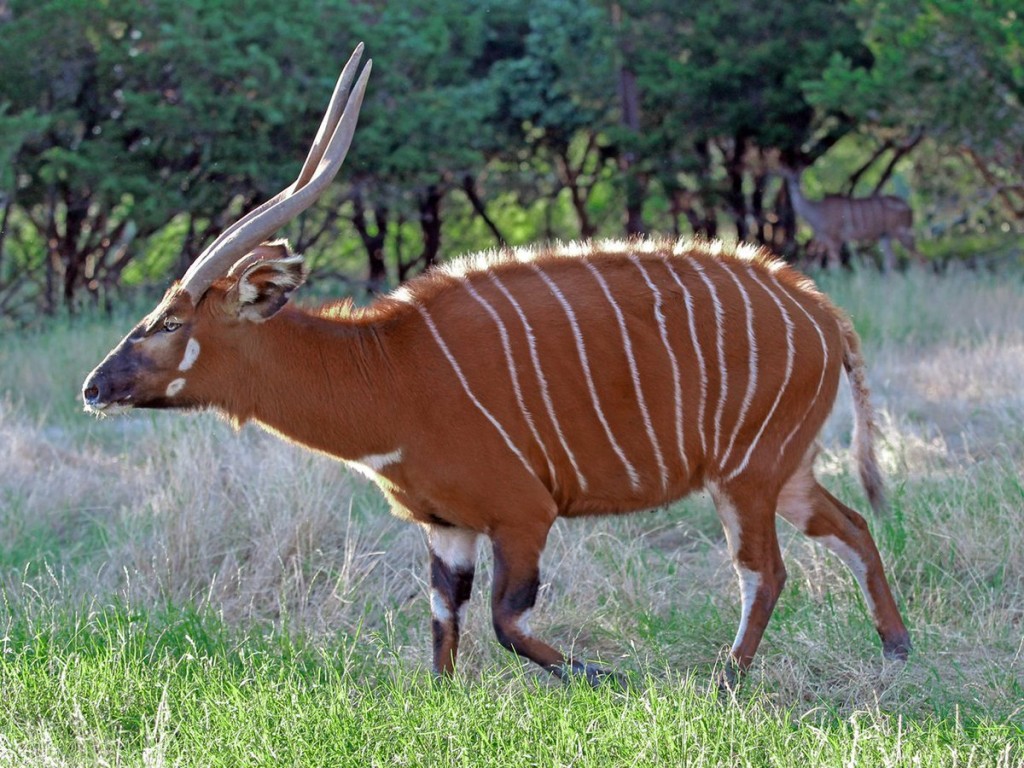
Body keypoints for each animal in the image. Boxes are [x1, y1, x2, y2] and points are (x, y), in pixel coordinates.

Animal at [782, 166, 921, 272]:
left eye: (800, 175)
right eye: (788, 176)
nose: (795, 183)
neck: (817, 212)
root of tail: (909, 207)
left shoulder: (835, 239)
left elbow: (834, 267)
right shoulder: (826, 240)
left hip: (902, 233)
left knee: (918, 259)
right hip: (885, 236)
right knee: (891, 262)